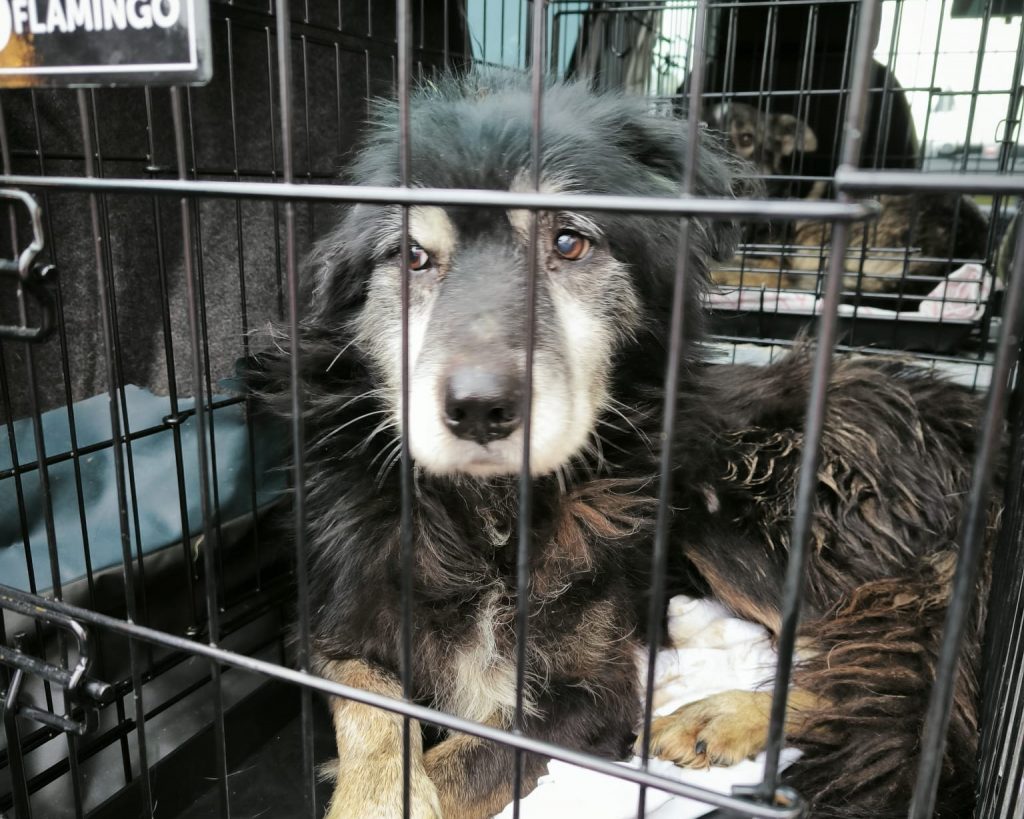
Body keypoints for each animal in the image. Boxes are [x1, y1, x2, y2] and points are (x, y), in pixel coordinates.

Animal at [255, 74, 1000, 819]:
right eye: (410, 256)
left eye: (569, 242)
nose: (479, 409)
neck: (493, 515)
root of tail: (956, 412)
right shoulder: (333, 626)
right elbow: (374, 717)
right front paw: (371, 798)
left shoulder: (591, 696)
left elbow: (464, 758)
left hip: (744, 507)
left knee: (881, 684)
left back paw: (721, 715)